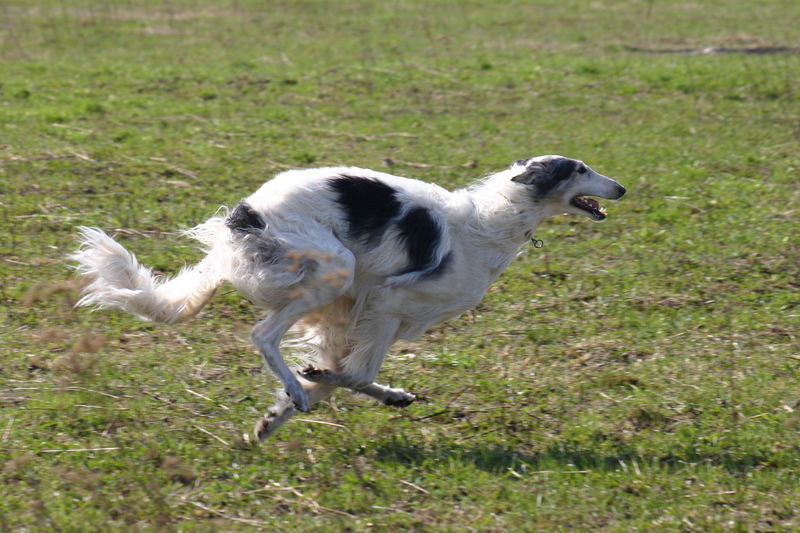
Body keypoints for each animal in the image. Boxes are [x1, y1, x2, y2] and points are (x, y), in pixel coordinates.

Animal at [70, 156, 624, 438]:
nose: (620, 188)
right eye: (579, 170)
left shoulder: (354, 313)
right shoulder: (386, 302)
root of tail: (245, 215)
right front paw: (309, 386)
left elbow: (343, 375)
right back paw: (295, 386)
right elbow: (354, 375)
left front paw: (278, 415)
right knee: (263, 334)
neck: (493, 221)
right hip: (336, 268)